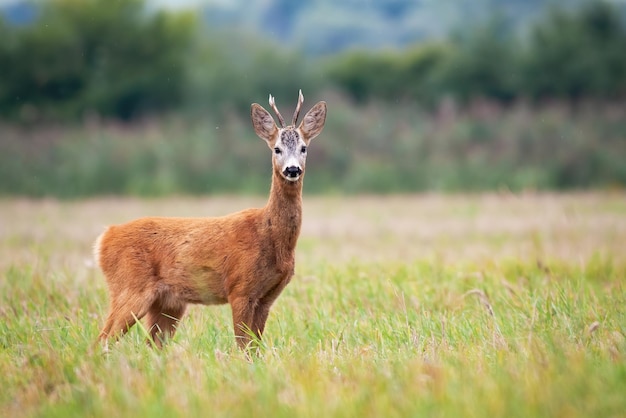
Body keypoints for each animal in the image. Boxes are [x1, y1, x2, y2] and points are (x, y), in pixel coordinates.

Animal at [94, 90, 326, 350]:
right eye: (277, 149)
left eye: (304, 148)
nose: (292, 169)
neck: (269, 235)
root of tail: (105, 236)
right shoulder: (239, 288)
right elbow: (243, 346)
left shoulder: (267, 297)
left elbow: (255, 347)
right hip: (130, 287)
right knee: (101, 341)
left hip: (167, 303)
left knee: (150, 345)